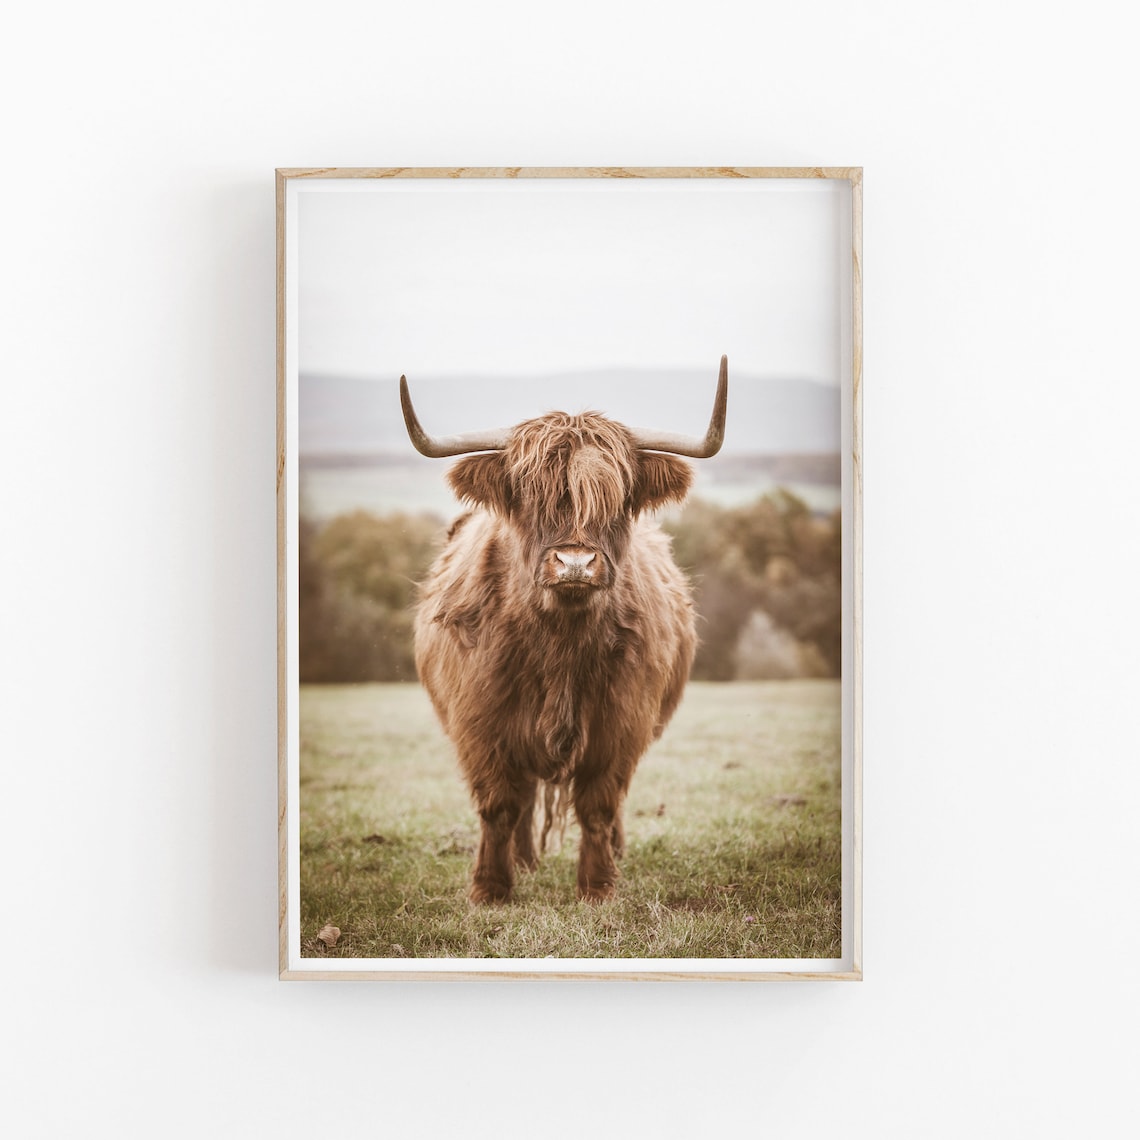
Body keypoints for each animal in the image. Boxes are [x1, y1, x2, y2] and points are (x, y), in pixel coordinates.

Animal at [401, 357, 728, 903]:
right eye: (528, 496)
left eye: (616, 499)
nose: (575, 562)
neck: (559, 643)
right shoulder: (481, 722)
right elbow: (499, 805)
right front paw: (491, 888)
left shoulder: (622, 722)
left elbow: (599, 804)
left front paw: (598, 886)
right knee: (526, 796)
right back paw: (524, 861)